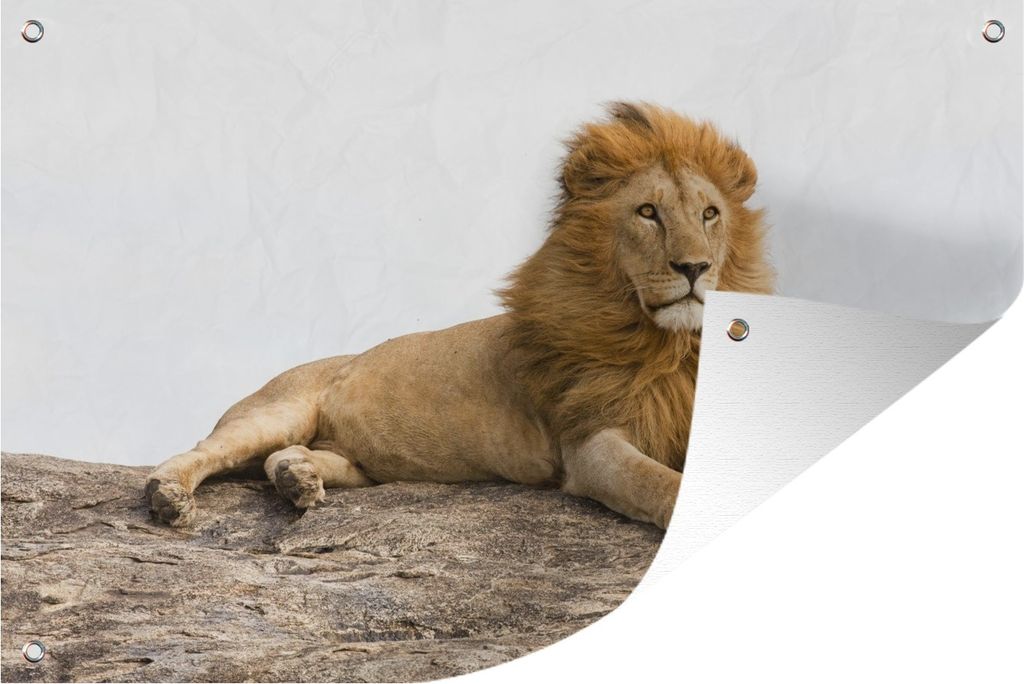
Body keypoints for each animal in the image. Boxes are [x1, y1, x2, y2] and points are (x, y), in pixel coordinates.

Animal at [146, 102, 774, 530]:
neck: (671, 346)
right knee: (201, 450)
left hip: (362, 465)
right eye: (648, 212)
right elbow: (659, 483)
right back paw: (168, 496)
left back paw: (296, 480)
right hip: (275, 410)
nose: (694, 267)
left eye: (710, 213)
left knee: (290, 458)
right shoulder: (591, 444)